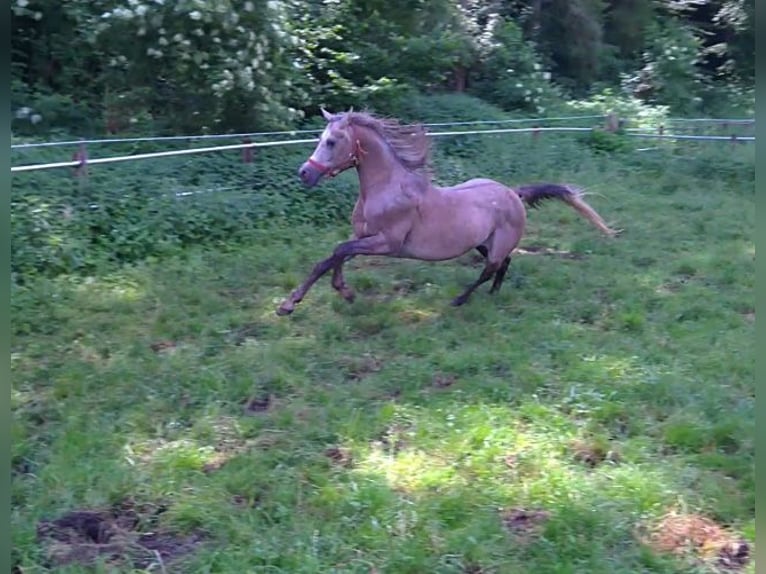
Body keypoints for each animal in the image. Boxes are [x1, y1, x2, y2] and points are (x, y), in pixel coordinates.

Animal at [276, 107, 616, 316]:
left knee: (491, 267)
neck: (387, 188)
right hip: (483, 242)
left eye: (332, 141)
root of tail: (513, 192)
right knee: (503, 264)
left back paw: (460, 300)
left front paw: (297, 302)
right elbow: (333, 256)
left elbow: (337, 251)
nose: (304, 173)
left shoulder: (387, 243)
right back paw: (493, 295)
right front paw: (330, 295)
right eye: (320, 139)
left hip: (496, 244)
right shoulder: (363, 236)